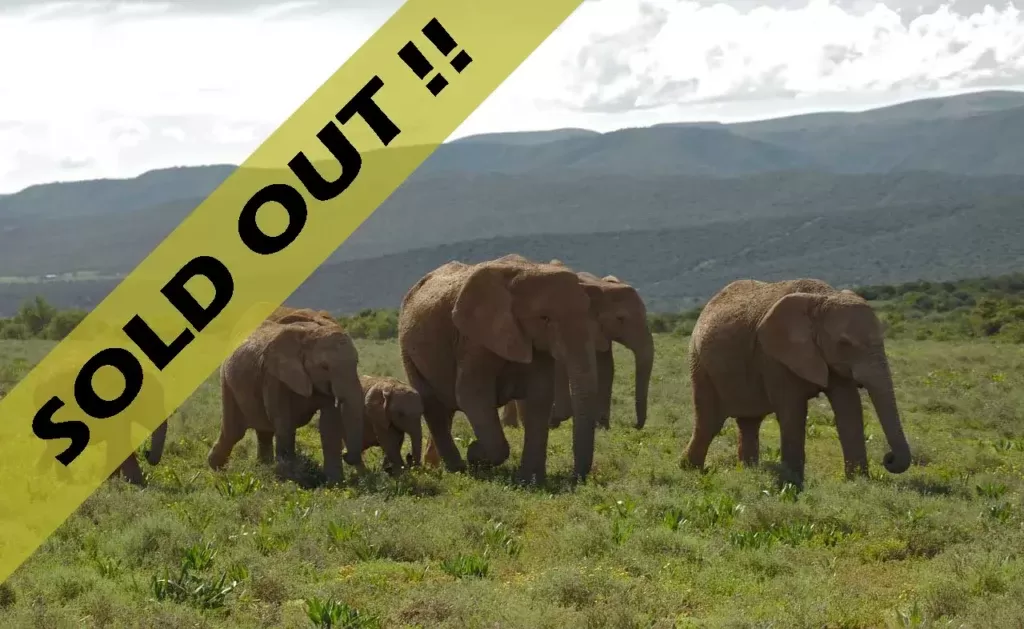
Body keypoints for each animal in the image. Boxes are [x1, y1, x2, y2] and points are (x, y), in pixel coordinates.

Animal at [210, 305, 366, 484]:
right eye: (324, 367)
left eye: (356, 362)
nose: (348, 455)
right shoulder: (274, 376)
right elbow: (284, 420)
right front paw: (294, 479)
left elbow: (330, 424)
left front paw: (334, 483)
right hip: (226, 380)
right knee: (234, 432)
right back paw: (217, 470)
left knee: (263, 431)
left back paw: (263, 468)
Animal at [399, 253, 602, 484]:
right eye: (544, 318)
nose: (574, 477)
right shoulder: (473, 340)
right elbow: (472, 395)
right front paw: (476, 454)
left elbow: (540, 396)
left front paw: (530, 481)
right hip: (407, 350)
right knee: (433, 406)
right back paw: (457, 468)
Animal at [500, 264, 654, 431]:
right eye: (621, 319)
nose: (634, 425)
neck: (603, 286)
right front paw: (556, 420)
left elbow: (605, 367)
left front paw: (601, 427)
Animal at [682, 278, 912, 485]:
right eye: (844, 343)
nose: (888, 459)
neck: (822, 297)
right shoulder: (773, 357)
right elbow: (793, 412)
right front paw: (792, 482)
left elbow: (849, 408)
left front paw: (858, 482)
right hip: (699, 363)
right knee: (709, 422)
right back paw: (690, 470)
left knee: (749, 422)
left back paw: (749, 473)